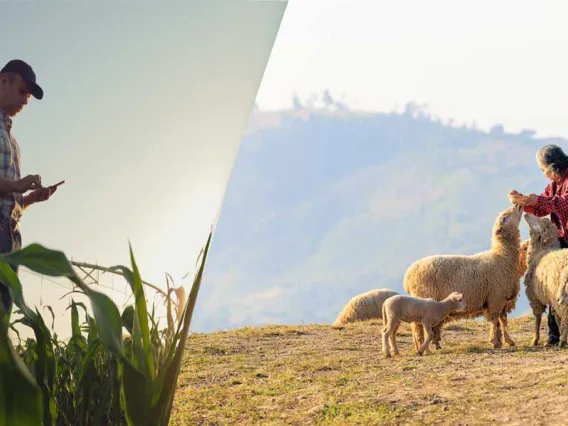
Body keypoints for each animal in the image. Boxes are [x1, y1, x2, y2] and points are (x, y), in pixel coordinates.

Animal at [404, 206, 524, 350]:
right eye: (504, 218)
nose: (517, 206)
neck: (502, 257)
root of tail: (408, 275)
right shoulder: (496, 297)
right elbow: (496, 320)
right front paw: (495, 341)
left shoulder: (502, 299)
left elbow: (503, 320)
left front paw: (506, 341)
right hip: (423, 298)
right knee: (417, 325)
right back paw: (423, 347)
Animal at [520, 215, 568, 348]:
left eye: (539, 222)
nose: (526, 214)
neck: (542, 251)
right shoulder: (553, 299)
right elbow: (556, 318)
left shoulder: (534, 296)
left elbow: (537, 318)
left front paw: (535, 340)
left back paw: (562, 341)